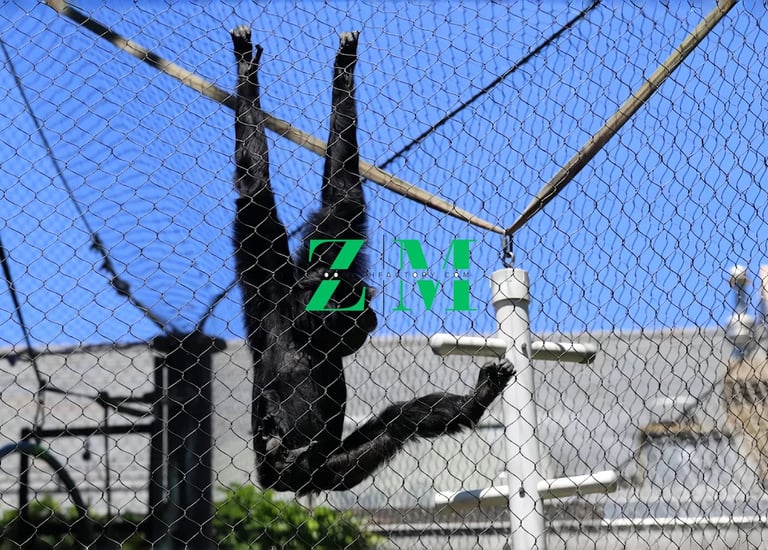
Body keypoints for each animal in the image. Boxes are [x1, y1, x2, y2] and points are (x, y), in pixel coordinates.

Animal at [230, 25, 515, 494]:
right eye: (336, 302)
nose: (347, 315)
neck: (301, 331)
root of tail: (296, 485)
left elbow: (342, 196)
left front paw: (343, 70)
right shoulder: (269, 282)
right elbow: (255, 191)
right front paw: (246, 73)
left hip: (334, 469)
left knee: (397, 422)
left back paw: (475, 403)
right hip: (293, 470)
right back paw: (277, 448)